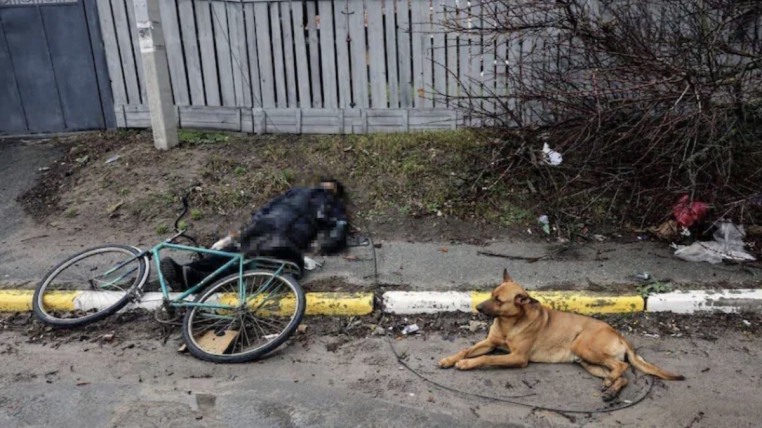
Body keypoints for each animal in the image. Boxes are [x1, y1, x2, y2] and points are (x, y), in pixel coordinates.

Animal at [440, 270, 684, 402]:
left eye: (499, 301)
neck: (509, 323)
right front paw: (450, 359)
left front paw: (465, 364)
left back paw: (611, 384)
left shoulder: (518, 357)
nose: (478, 308)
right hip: (588, 363)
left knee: (622, 367)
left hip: (583, 347)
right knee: (621, 375)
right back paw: (611, 389)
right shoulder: (490, 342)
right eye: (492, 295)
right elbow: (467, 349)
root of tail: (620, 334)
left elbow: (485, 358)